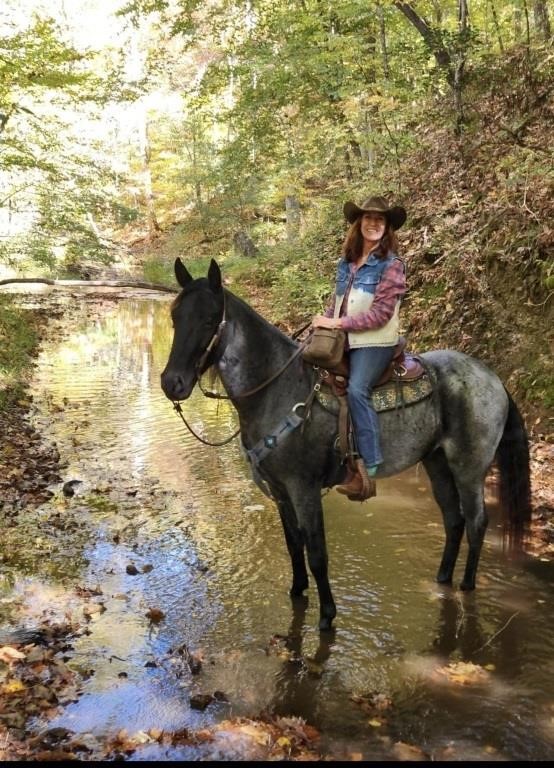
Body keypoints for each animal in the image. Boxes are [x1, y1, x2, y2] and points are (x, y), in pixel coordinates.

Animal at [160, 258, 532, 632]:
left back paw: (467, 585)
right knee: (453, 519)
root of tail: (493, 378)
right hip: (436, 461)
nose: (171, 383)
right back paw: (442, 579)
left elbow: (317, 553)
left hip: (469, 467)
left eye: (210, 320)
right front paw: (297, 592)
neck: (278, 390)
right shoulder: (280, 492)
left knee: (476, 521)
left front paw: (327, 615)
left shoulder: (304, 489)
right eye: (175, 317)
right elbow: (293, 545)